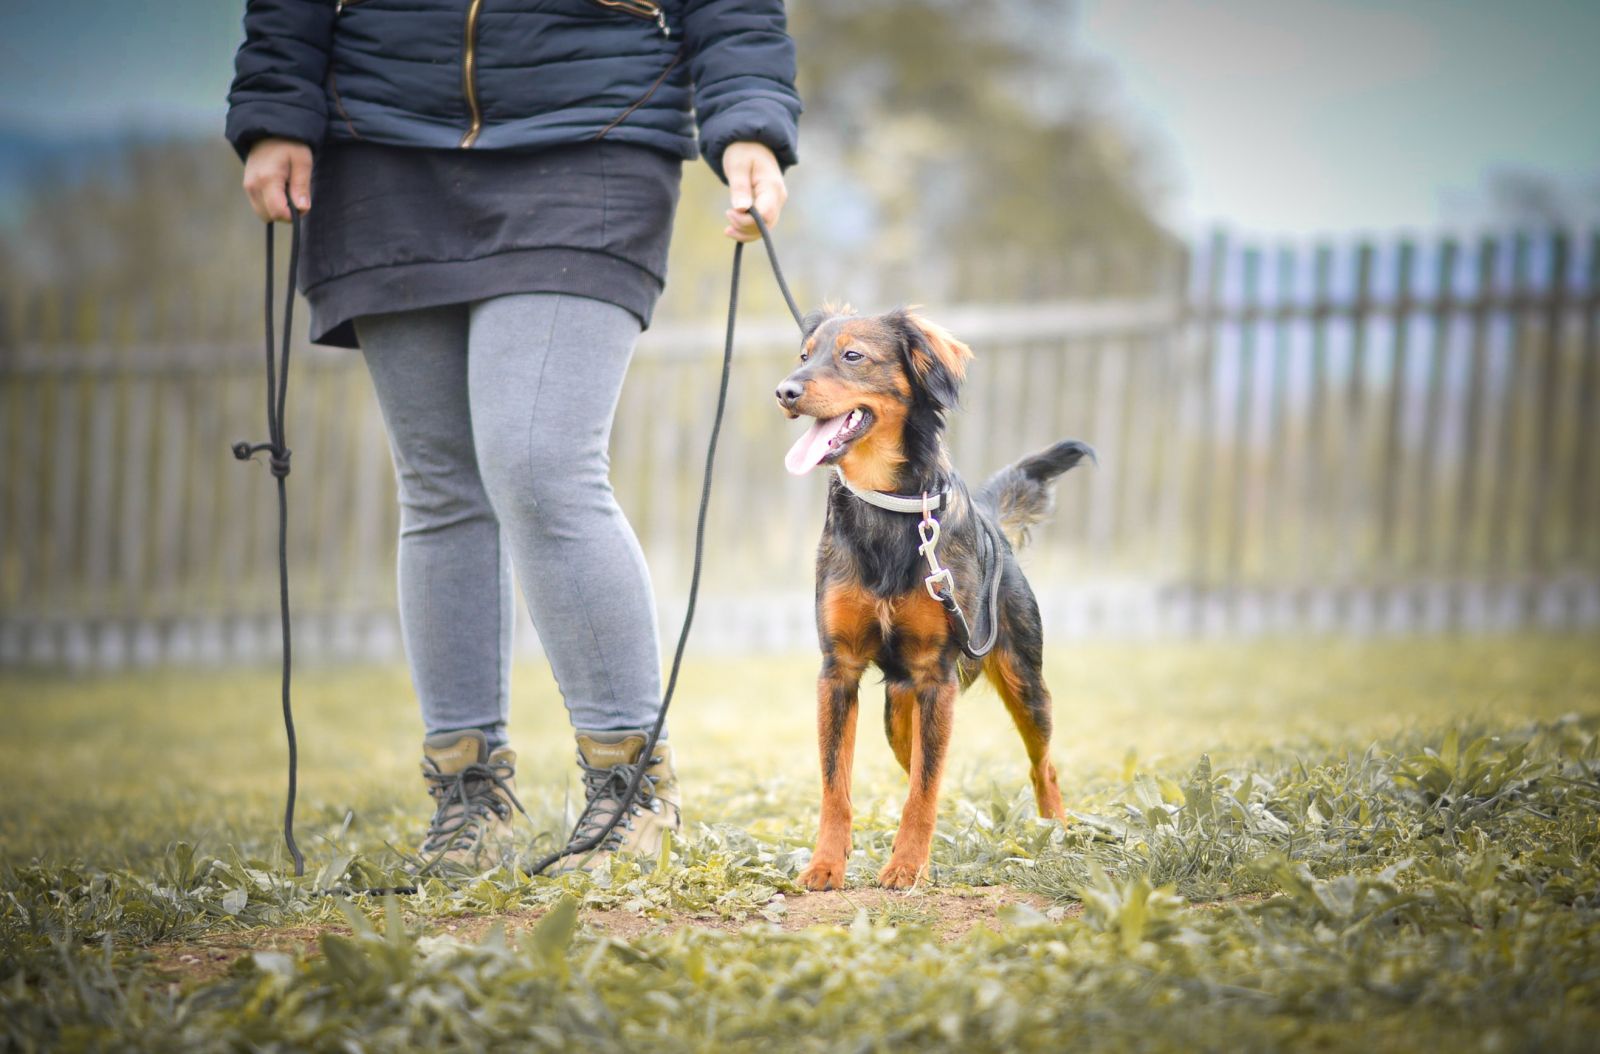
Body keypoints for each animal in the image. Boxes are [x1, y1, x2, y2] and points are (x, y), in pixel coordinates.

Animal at [775, 307, 1094, 890]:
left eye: (853, 356)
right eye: (804, 355)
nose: (785, 391)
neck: (887, 505)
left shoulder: (936, 675)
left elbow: (925, 788)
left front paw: (906, 865)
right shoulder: (838, 671)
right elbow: (837, 785)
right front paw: (826, 864)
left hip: (1023, 683)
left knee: (1042, 764)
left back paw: (1055, 828)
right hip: (899, 712)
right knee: (918, 766)